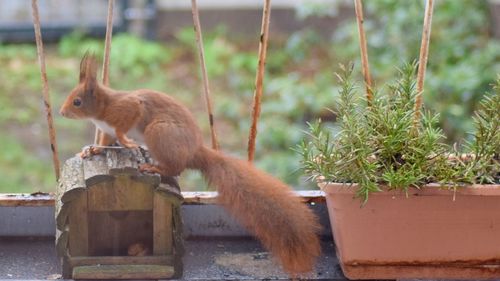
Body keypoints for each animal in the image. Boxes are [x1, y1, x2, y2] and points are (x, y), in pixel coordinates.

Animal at [58, 54, 320, 274]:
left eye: (77, 101)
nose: (61, 112)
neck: (102, 108)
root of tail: (195, 151)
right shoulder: (106, 130)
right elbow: (104, 143)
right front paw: (92, 149)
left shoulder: (128, 109)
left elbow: (125, 126)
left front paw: (127, 142)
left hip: (158, 131)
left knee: (176, 168)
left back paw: (154, 167)